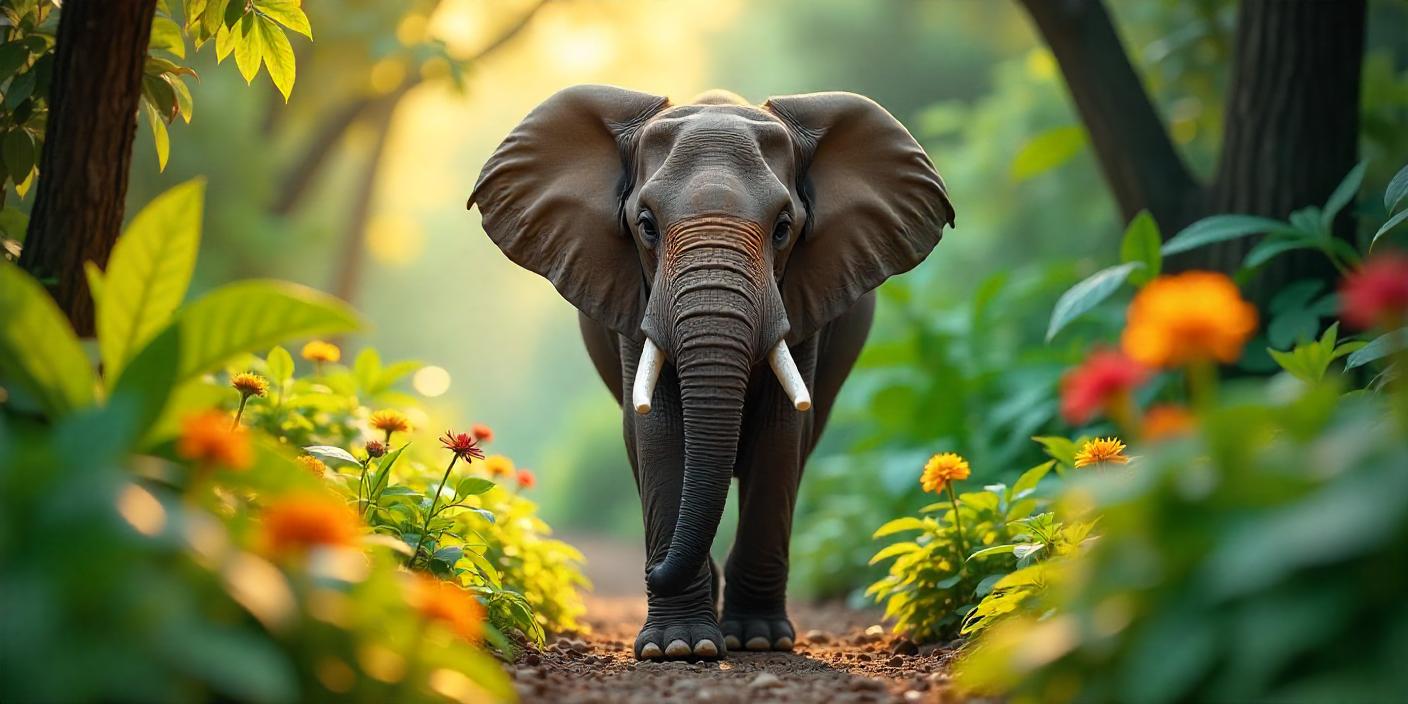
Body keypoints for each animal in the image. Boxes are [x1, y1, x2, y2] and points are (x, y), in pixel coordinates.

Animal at [469, 85, 953, 661]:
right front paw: (679, 649)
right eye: (646, 225)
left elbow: (781, 436)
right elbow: (658, 433)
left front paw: (759, 641)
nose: (653, 569)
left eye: (784, 229)